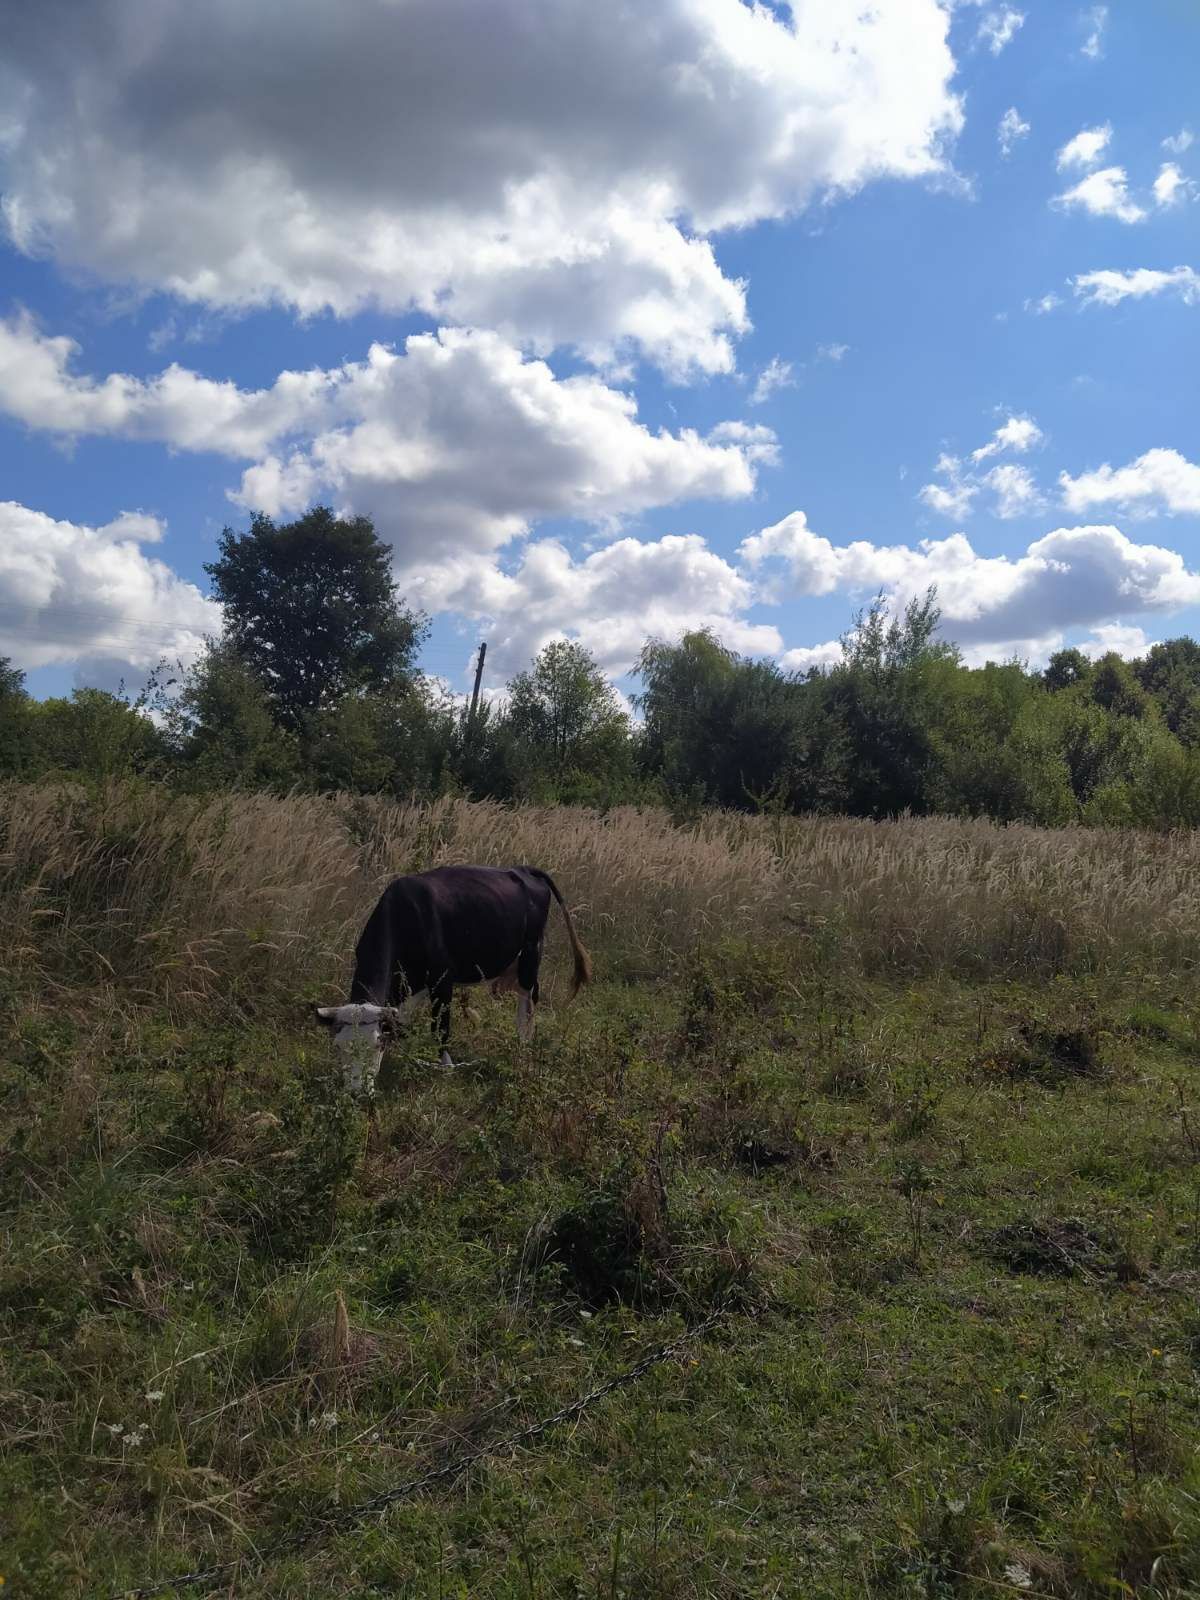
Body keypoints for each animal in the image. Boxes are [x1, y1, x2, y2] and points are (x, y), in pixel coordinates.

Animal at [312, 864, 588, 1100]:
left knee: (526, 1005)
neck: (406, 916)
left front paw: (446, 1071)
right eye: (337, 1047)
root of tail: (524, 869)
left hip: (531, 954)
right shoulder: (407, 990)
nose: (355, 1092)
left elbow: (440, 1030)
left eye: (376, 1044)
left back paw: (522, 1045)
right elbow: (402, 1025)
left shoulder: (443, 980)